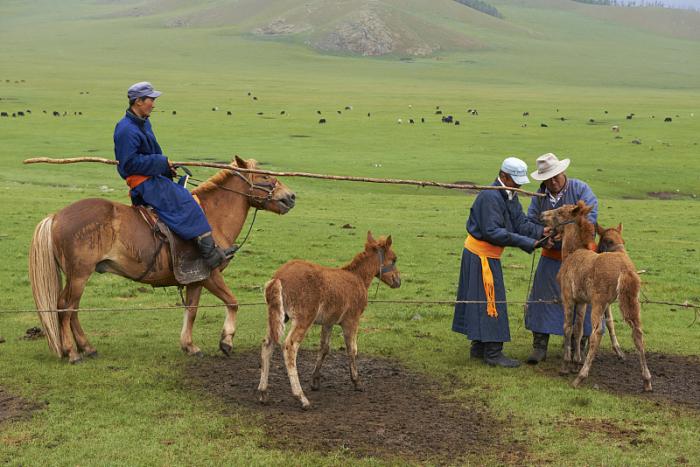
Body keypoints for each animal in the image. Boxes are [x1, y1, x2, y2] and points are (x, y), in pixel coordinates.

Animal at [28, 156, 292, 362]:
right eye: (263, 177)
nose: (291, 197)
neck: (213, 218)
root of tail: (56, 216)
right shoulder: (211, 275)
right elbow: (233, 302)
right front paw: (226, 342)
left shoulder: (196, 279)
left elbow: (192, 311)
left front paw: (189, 346)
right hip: (79, 275)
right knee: (64, 307)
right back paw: (72, 352)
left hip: (78, 277)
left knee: (72, 309)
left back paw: (87, 347)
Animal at [258, 231, 400, 410]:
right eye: (394, 259)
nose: (398, 281)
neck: (357, 277)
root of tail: (279, 277)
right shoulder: (351, 321)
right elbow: (352, 349)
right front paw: (357, 382)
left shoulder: (328, 322)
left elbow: (324, 348)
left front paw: (315, 381)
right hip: (303, 319)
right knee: (290, 347)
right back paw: (301, 397)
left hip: (279, 316)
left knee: (267, 344)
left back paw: (263, 393)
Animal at [540, 201, 652, 392]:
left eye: (560, 212)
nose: (542, 215)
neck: (572, 253)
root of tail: (625, 269)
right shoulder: (583, 301)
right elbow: (578, 329)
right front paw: (576, 361)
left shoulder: (568, 297)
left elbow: (567, 327)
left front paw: (566, 365)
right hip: (631, 302)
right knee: (637, 332)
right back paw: (646, 380)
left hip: (600, 302)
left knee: (597, 333)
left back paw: (580, 377)